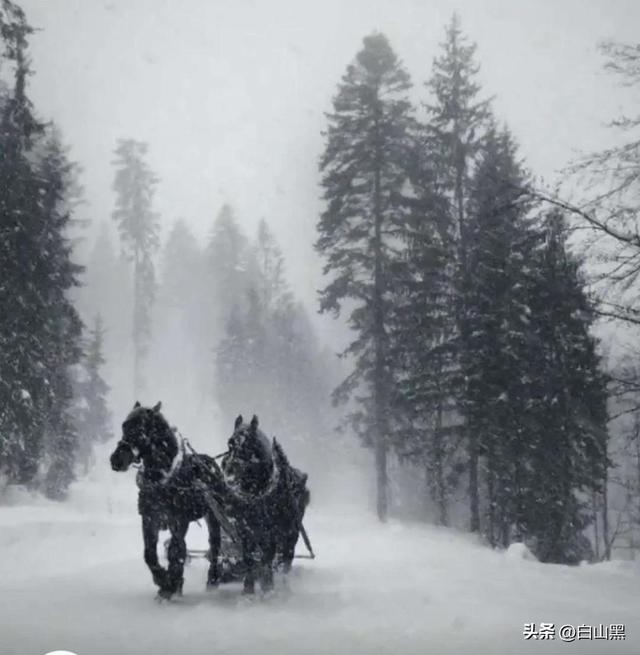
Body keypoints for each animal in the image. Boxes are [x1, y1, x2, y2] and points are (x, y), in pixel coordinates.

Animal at [110, 400, 228, 600]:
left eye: (140, 430)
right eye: (124, 426)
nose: (116, 460)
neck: (164, 478)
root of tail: (211, 462)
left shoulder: (179, 520)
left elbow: (175, 550)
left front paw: (169, 585)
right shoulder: (150, 519)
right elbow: (150, 554)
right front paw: (165, 581)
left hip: (213, 516)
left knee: (214, 547)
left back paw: (212, 581)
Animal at [220, 418, 310, 596]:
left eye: (248, 445)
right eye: (230, 443)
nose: (229, 472)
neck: (257, 492)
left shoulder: (272, 531)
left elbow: (268, 557)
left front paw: (268, 588)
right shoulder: (245, 530)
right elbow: (249, 556)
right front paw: (249, 589)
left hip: (291, 532)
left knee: (286, 557)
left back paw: (283, 585)